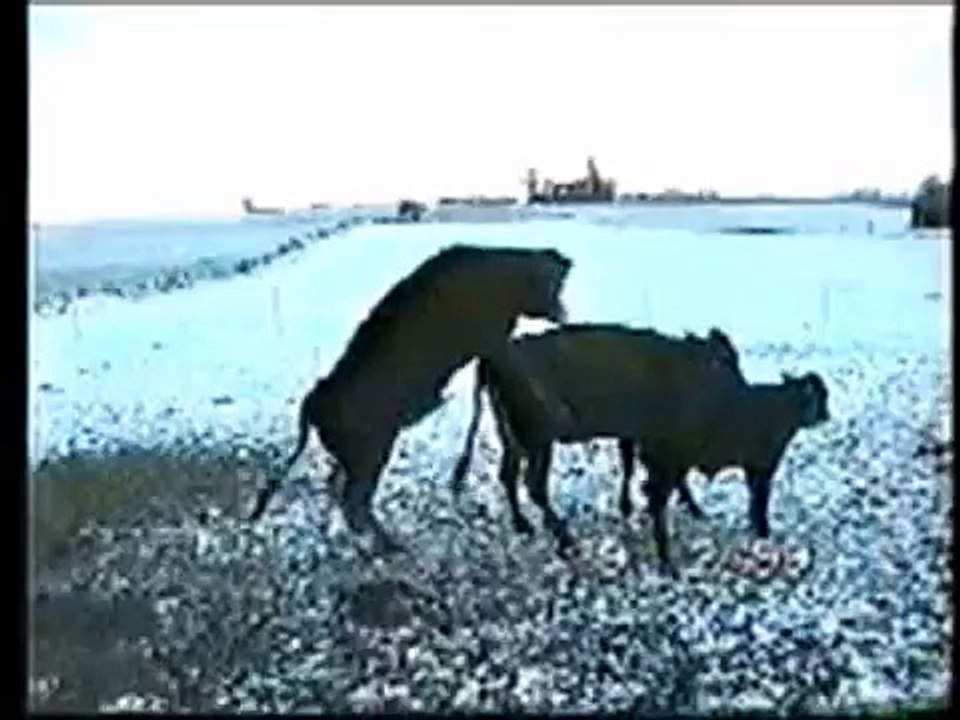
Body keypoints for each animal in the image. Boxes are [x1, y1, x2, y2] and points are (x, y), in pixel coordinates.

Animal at [247, 244, 574, 555]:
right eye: (553, 285)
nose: (564, 314)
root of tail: (314, 399)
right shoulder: (490, 337)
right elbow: (513, 363)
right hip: (370, 451)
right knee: (354, 499)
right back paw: (390, 546)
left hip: (354, 455)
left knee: (337, 489)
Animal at [450, 324, 830, 575]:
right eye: (723, 359)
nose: (740, 386)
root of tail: (496, 356)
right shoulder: (660, 446)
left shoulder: (643, 441)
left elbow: (635, 469)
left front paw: (634, 507)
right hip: (539, 443)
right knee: (534, 485)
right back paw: (565, 539)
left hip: (513, 440)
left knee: (509, 476)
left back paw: (524, 525)